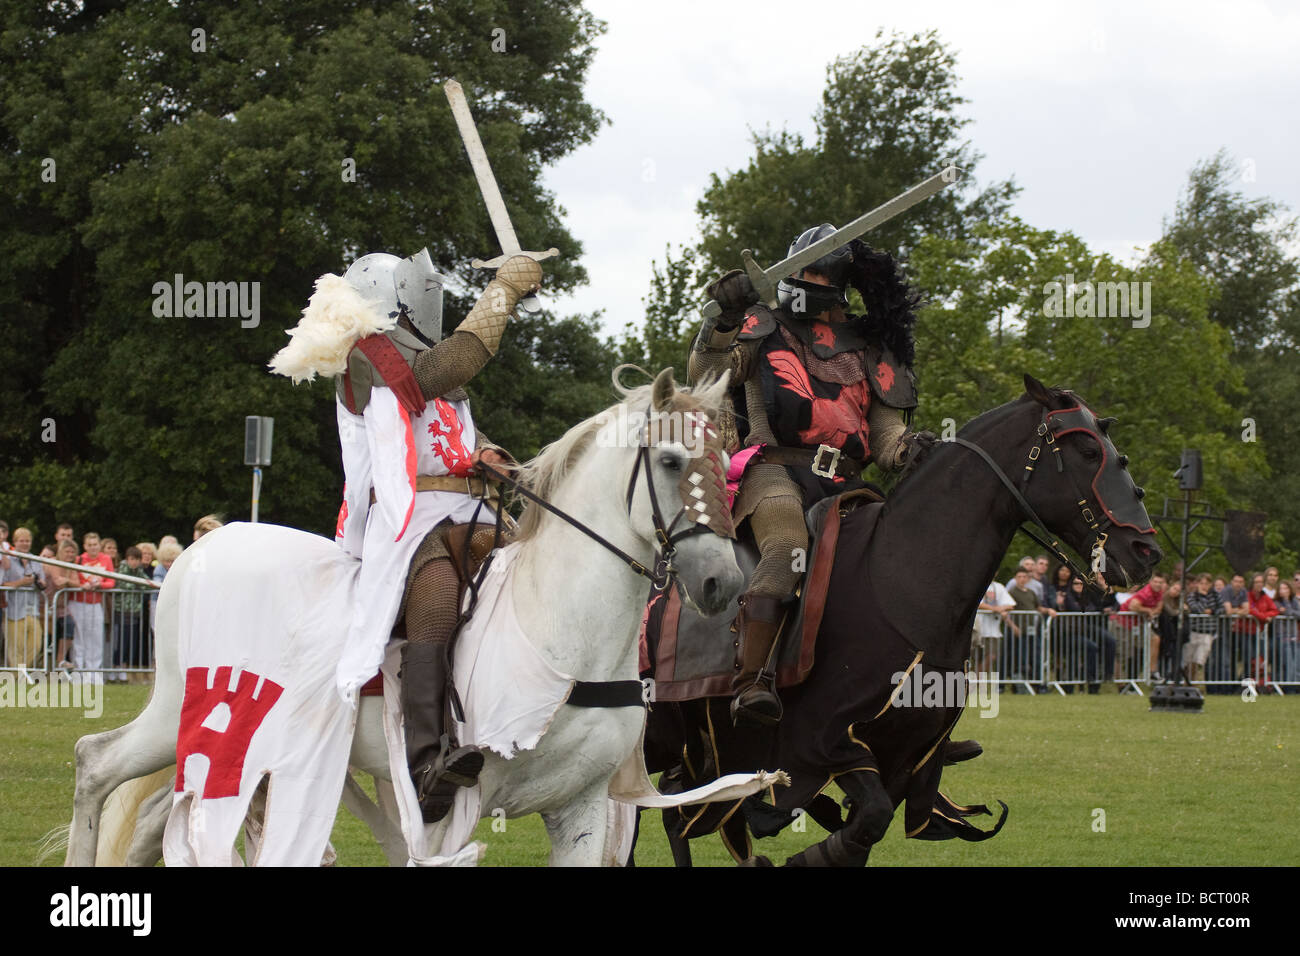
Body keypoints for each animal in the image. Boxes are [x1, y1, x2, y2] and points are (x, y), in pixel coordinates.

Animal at [68, 371, 743, 868]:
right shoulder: (448, 814)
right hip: (183, 709)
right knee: (94, 763)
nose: (724, 583)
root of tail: (200, 549)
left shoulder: (581, 808)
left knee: (156, 819)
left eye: (725, 459)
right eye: (672, 461)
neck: (557, 632)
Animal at [639, 377, 1159, 868]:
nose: (1145, 551)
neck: (896, 580)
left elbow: (863, 833)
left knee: (673, 813)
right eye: (1088, 451)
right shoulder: (824, 743)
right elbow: (865, 819)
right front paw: (796, 857)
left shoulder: (901, 757)